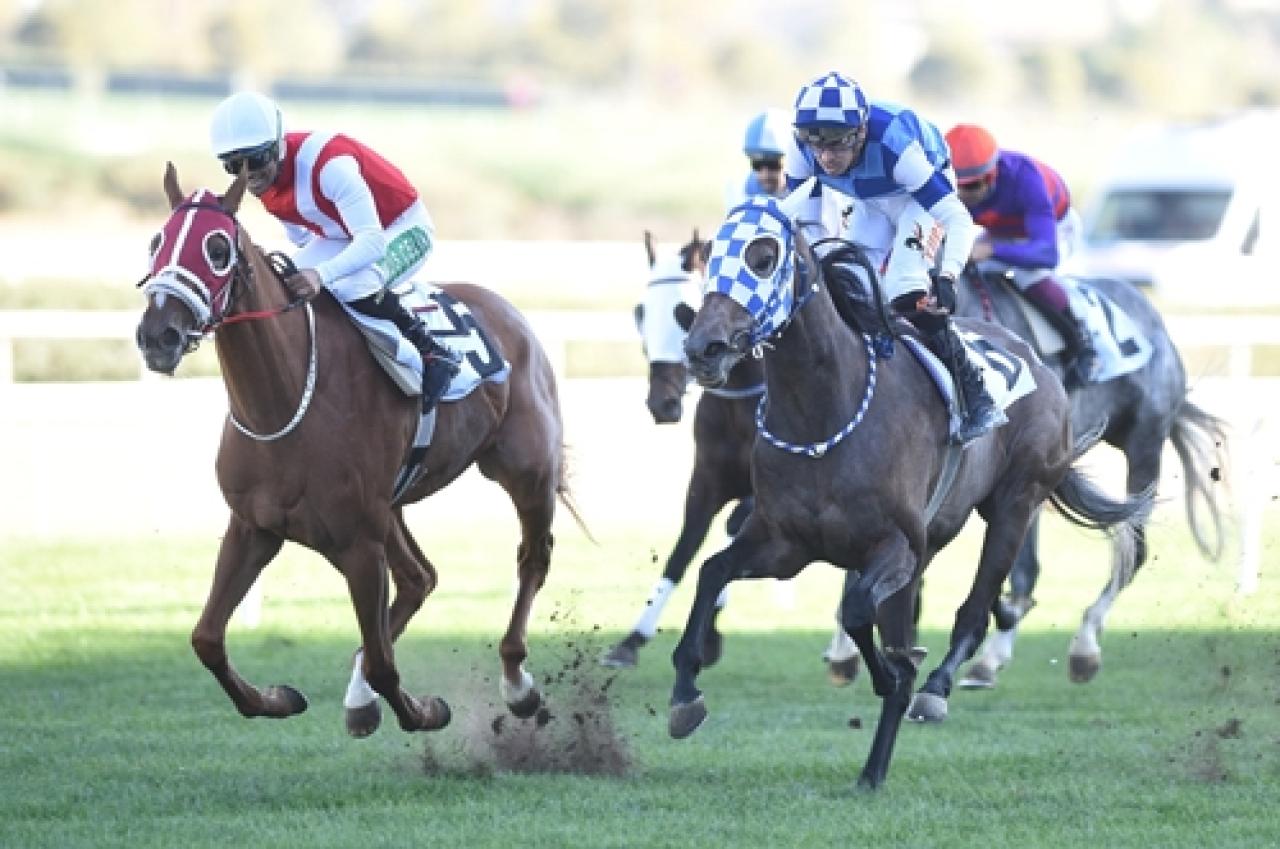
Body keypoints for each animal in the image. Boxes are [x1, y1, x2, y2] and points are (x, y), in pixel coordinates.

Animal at [135, 163, 576, 737]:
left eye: (216, 248)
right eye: (156, 242)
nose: (157, 336)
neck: (285, 401)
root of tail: (510, 312)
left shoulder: (359, 543)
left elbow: (386, 664)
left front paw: (422, 710)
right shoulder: (254, 527)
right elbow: (206, 639)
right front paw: (277, 698)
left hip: (526, 472)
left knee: (531, 559)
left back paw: (517, 684)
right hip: (391, 507)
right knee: (419, 578)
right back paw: (360, 694)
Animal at [670, 199, 1152, 788]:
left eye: (763, 257)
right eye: (714, 254)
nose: (703, 348)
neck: (823, 411)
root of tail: (1037, 360)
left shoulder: (895, 545)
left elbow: (859, 610)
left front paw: (896, 673)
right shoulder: (785, 544)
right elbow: (712, 570)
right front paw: (685, 693)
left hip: (1015, 504)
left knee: (974, 609)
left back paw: (935, 689)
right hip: (935, 539)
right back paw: (875, 766)